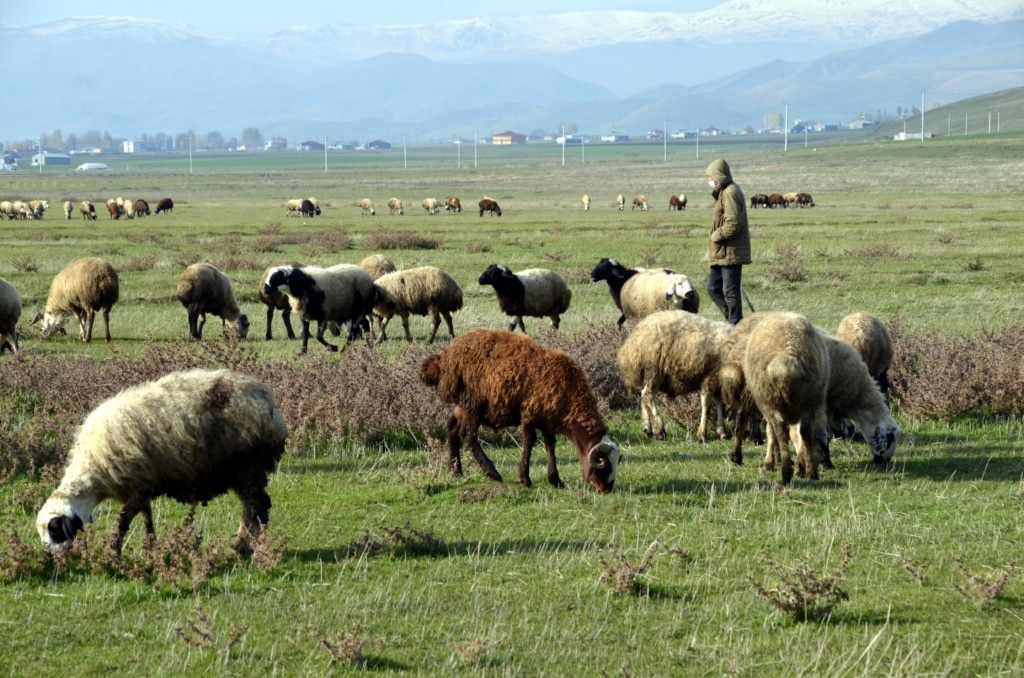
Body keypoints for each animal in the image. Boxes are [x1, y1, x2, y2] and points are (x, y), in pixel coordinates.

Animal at [35, 368, 288, 557]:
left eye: (55, 530)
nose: (54, 559)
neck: (94, 470)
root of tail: (270, 404)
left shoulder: (137, 486)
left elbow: (123, 520)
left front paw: (114, 550)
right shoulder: (142, 487)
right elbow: (147, 519)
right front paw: (150, 548)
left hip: (248, 468)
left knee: (257, 508)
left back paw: (247, 548)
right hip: (242, 473)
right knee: (252, 509)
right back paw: (243, 546)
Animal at [419, 329, 618, 493]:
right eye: (604, 466)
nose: (606, 489)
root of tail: (444, 358)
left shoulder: (547, 419)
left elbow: (550, 445)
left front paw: (555, 480)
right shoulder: (529, 414)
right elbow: (529, 443)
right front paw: (525, 479)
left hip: (463, 405)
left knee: (452, 428)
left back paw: (456, 471)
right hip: (473, 403)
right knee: (468, 435)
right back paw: (492, 472)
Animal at [610, 311, 733, 444]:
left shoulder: (718, 382)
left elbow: (719, 403)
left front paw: (722, 432)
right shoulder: (710, 377)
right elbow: (707, 406)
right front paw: (703, 435)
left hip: (650, 373)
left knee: (643, 397)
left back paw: (647, 428)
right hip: (654, 370)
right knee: (648, 396)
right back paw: (659, 431)